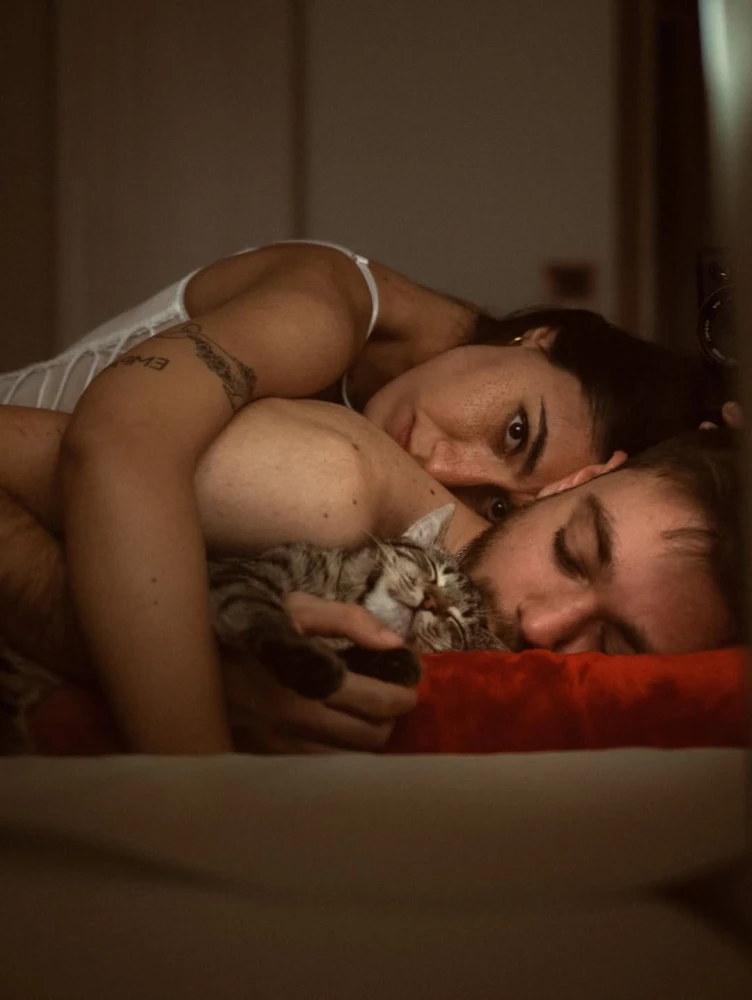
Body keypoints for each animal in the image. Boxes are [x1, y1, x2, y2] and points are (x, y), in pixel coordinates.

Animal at [209, 504, 506, 699]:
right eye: (433, 570)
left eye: (455, 621)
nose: (431, 602)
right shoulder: (246, 572)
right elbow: (260, 611)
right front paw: (307, 662)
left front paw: (389, 661)